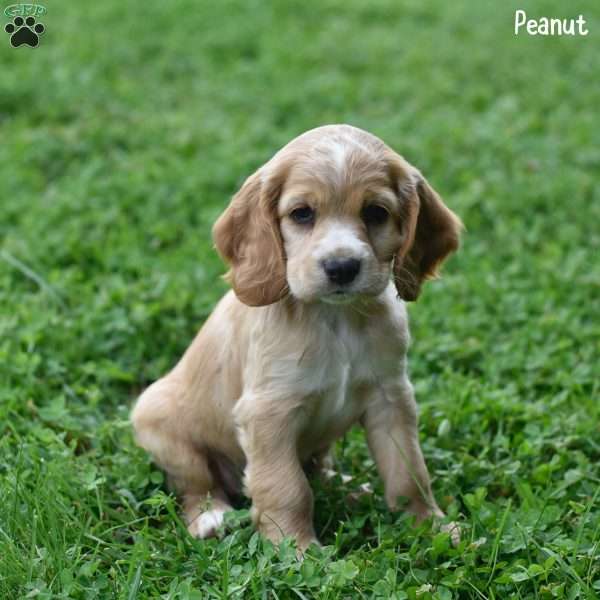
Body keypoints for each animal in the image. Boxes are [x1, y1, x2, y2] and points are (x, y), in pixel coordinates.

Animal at [130, 122, 460, 548]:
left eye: (376, 212)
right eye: (302, 213)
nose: (342, 267)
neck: (335, 319)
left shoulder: (391, 397)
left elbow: (408, 471)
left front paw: (429, 525)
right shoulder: (269, 412)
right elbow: (286, 486)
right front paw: (296, 548)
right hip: (162, 426)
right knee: (196, 483)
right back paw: (211, 516)